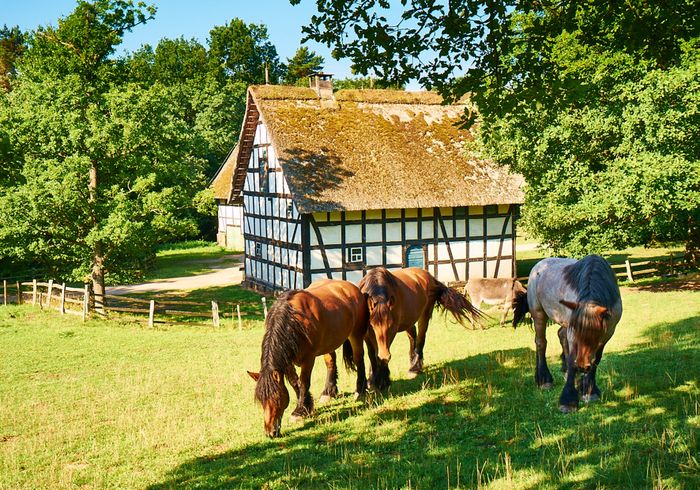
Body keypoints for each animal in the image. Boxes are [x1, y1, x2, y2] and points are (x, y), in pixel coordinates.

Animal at [245, 280, 366, 436]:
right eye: (261, 400)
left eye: (277, 398)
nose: (270, 432)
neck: (294, 320)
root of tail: (351, 286)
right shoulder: (288, 361)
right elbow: (294, 382)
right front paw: (307, 407)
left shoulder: (308, 359)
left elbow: (304, 383)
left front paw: (299, 412)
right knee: (330, 362)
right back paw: (328, 392)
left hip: (356, 334)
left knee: (359, 358)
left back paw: (360, 391)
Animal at [512, 256, 620, 414]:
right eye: (576, 331)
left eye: (596, 334)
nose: (582, 366)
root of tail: (539, 265)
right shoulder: (572, 332)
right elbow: (571, 359)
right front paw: (568, 400)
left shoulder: (607, 334)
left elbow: (596, 359)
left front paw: (589, 391)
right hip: (539, 313)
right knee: (541, 343)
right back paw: (544, 380)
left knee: (560, 335)